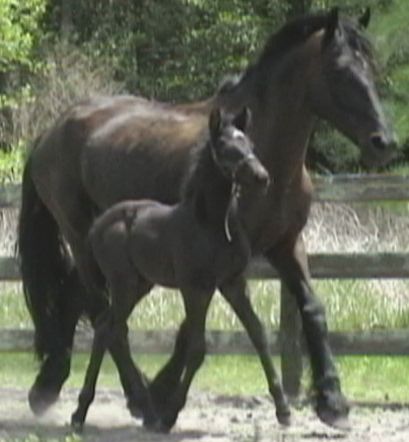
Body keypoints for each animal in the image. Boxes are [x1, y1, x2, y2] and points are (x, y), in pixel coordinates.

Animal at [71, 107, 290, 432]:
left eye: (250, 144)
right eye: (226, 149)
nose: (261, 177)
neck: (214, 225)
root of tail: (98, 226)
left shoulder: (233, 283)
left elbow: (258, 334)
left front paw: (283, 409)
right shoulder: (196, 288)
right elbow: (197, 348)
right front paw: (171, 414)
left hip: (140, 284)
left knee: (106, 328)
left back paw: (118, 412)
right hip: (123, 285)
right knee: (111, 329)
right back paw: (101, 413)